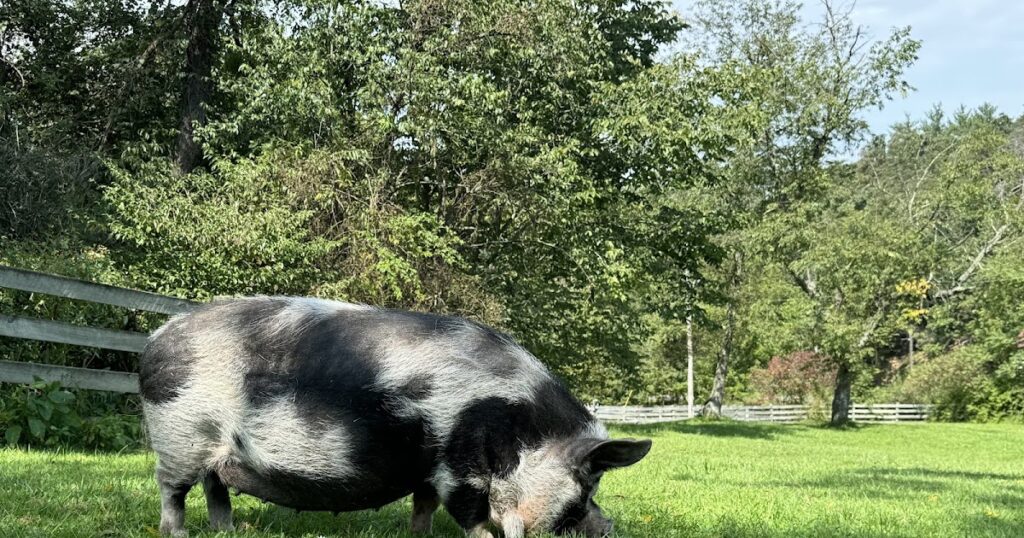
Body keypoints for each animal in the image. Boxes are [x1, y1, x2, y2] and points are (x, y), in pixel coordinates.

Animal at [140, 295, 651, 532]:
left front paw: (419, 536)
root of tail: (154, 340)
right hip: (178, 437)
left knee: (216, 486)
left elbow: (423, 507)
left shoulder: (428, 470)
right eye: (588, 483)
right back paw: (176, 534)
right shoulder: (457, 466)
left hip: (213, 450)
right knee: (172, 489)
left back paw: (226, 531)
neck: (517, 429)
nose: (608, 527)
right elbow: (470, 515)